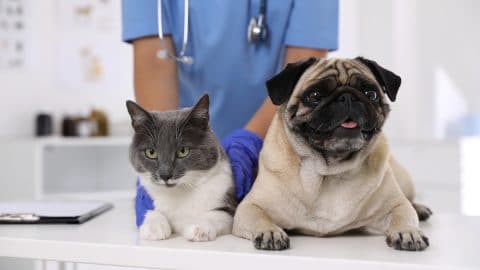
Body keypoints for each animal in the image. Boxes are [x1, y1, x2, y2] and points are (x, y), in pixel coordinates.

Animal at [124, 94, 235, 240]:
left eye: (183, 151)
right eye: (151, 152)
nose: (165, 175)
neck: (180, 193)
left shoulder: (226, 196)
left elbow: (220, 214)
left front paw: (199, 228)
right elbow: (150, 210)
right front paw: (154, 226)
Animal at [231, 56, 434, 251]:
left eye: (371, 94)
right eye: (314, 95)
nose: (347, 97)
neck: (329, 172)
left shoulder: (395, 205)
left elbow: (404, 214)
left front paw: (408, 232)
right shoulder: (250, 207)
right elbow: (259, 217)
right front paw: (270, 232)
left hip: (404, 179)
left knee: (410, 200)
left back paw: (420, 209)